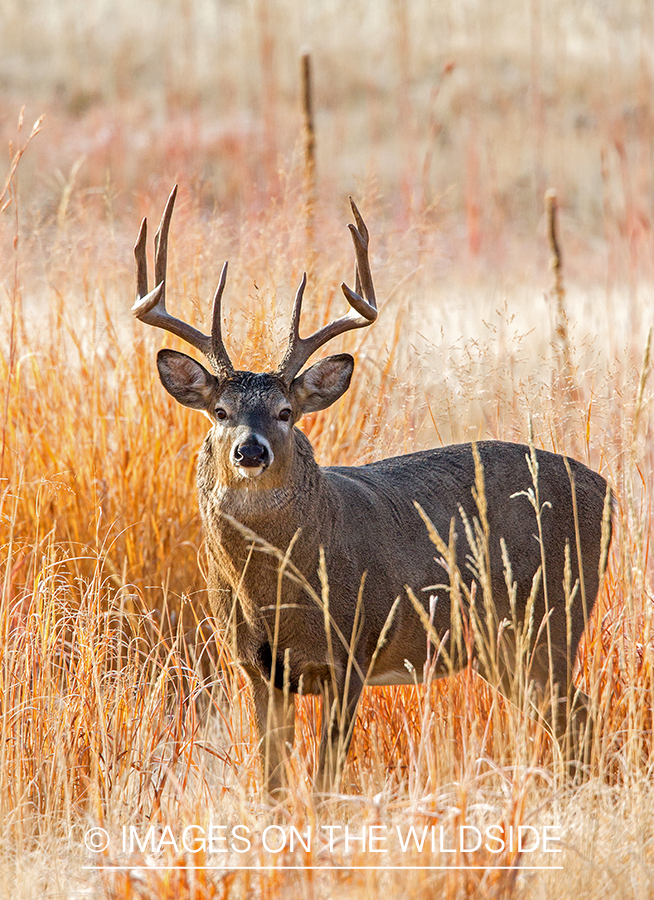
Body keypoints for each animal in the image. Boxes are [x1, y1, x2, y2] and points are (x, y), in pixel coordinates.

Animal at [133, 186, 616, 792]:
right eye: (220, 412)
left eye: (286, 412)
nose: (250, 450)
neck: (280, 592)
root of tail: (607, 489)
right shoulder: (257, 668)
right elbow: (273, 784)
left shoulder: (353, 653)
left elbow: (325, 781)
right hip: (501, 647)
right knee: (574, 722)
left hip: (550, 620)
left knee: (581, 719)